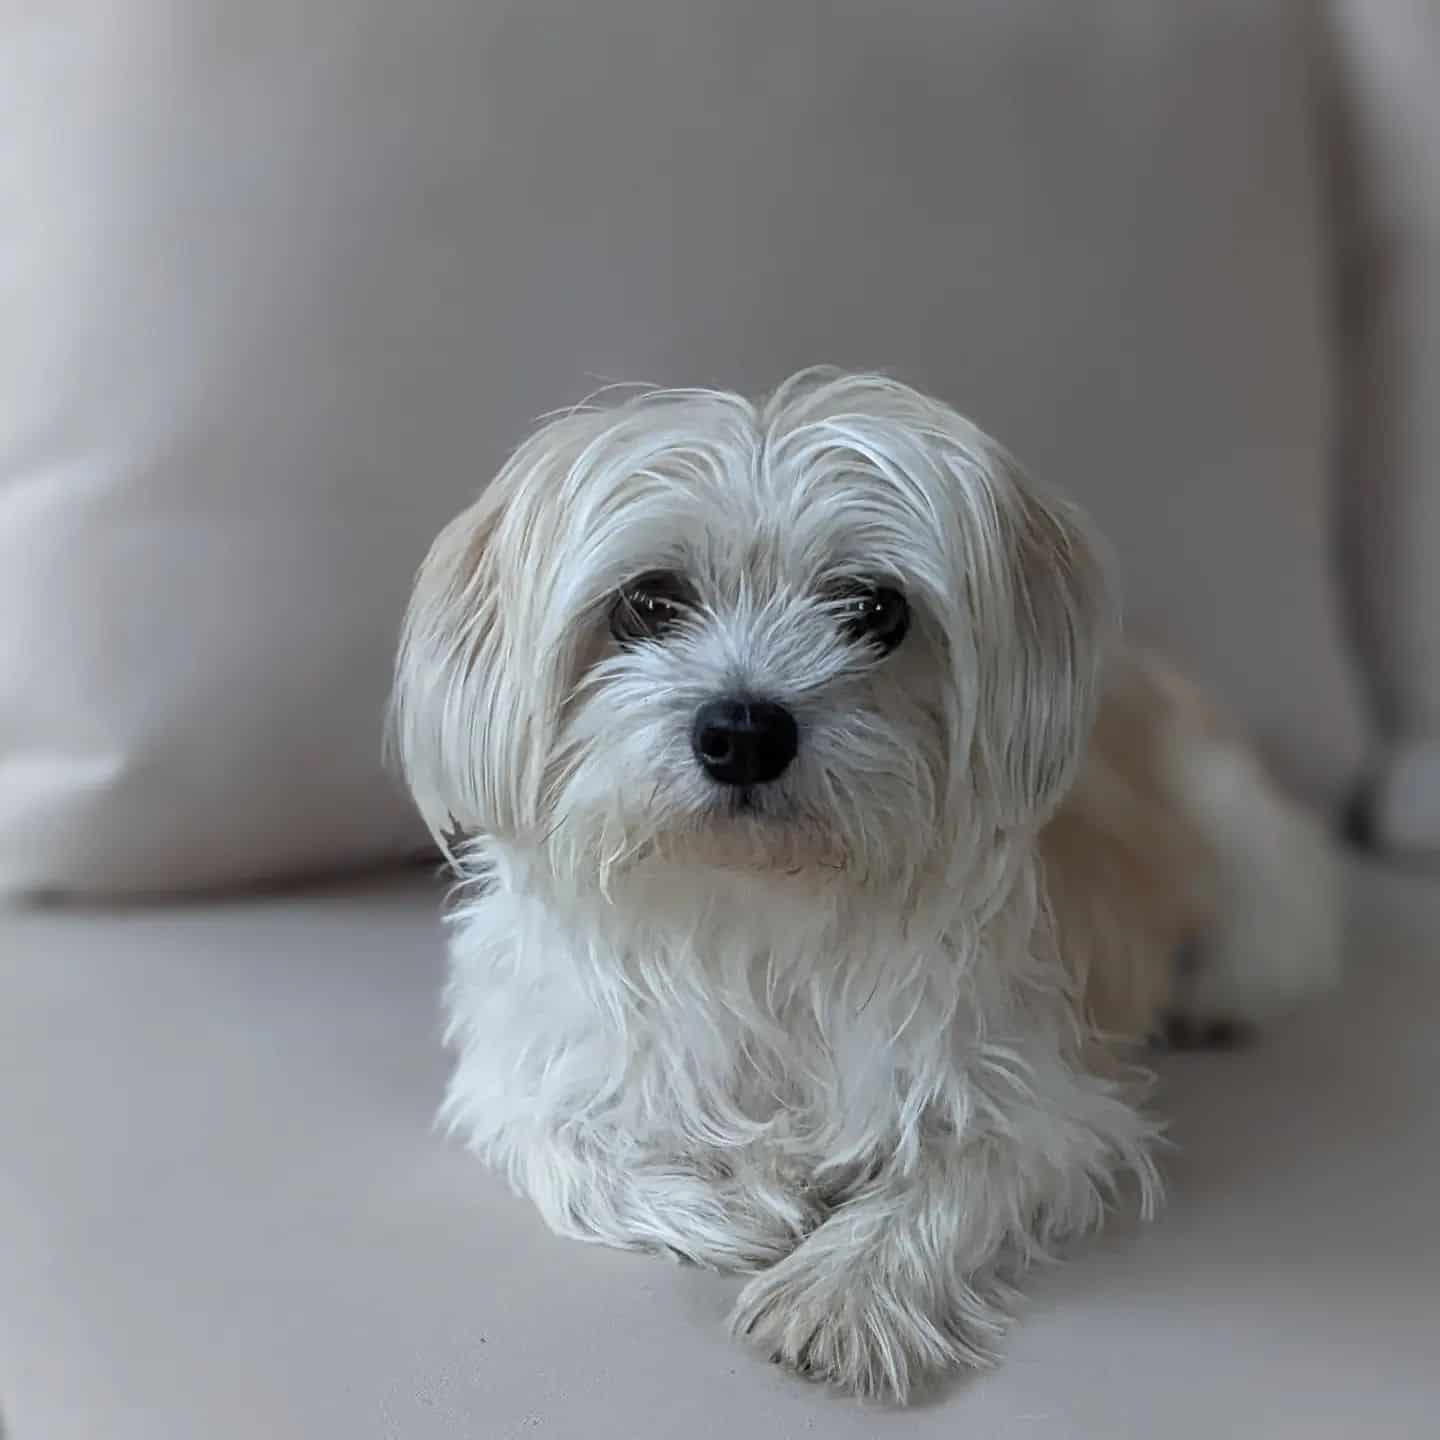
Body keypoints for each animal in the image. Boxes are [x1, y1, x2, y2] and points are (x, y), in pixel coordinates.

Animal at [385, 365, 1336, 1399]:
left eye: (875, 609)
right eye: (646, 602)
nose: (744, 732)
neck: (755, 913)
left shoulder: (1042, 1103)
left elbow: (947, 1182)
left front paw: (841, 1293)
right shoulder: (524, 1071)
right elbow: (570, 1144)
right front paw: (735, 1200)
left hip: (1245, 838)